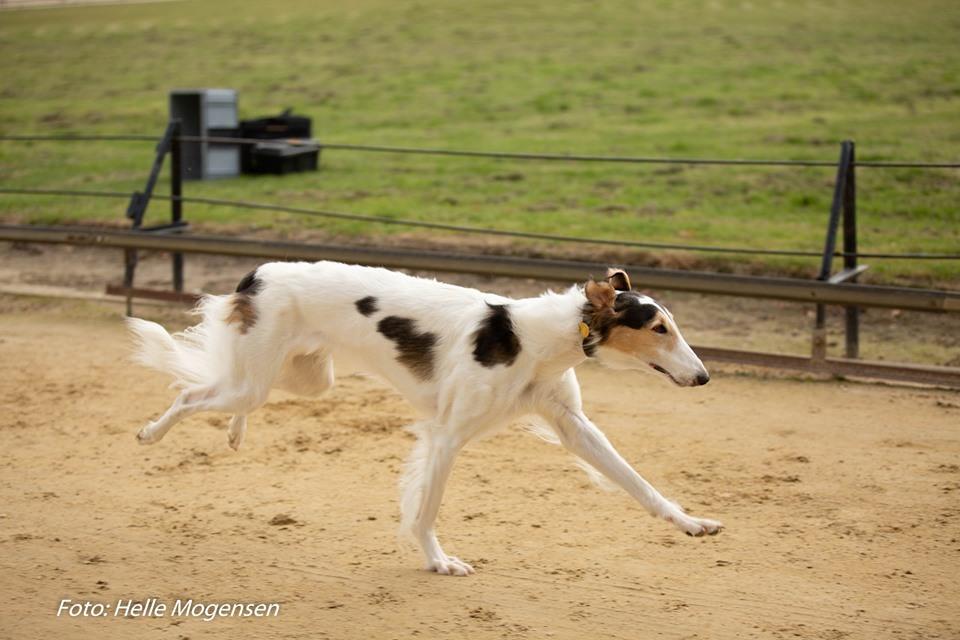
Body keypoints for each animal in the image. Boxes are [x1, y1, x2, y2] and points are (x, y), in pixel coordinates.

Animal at [131, 260, 724, 576]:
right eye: (659, 329)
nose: (703, 378)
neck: (535, 338)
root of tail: (261, 270)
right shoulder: (446, 437)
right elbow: (425, 512)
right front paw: (439, 562)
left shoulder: (575, 427)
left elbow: (639, 484)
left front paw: (691, 522)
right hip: (258, 378)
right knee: (189, 394)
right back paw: (151, 432)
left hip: (299, 379)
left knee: (226, 396)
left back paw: (234, 432)